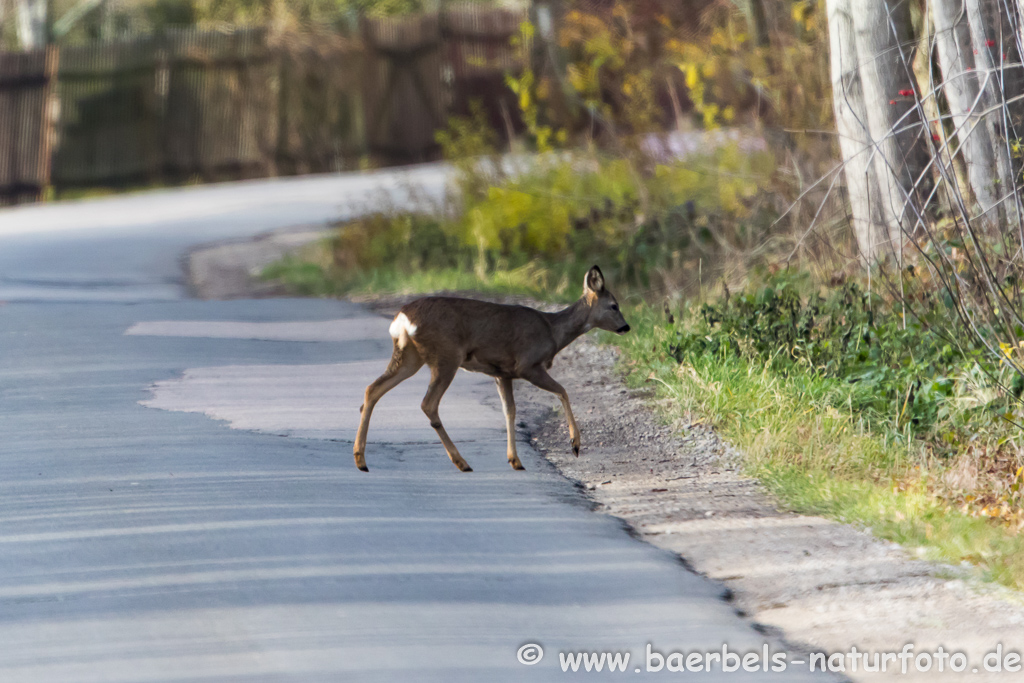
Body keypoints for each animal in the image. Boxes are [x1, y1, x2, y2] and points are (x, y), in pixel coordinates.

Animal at [354, 264, 630, 473]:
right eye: (614, 305)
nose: (626, 327)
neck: (553, 331)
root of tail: (402, 319)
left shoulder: (502, 373)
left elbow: (510, 411)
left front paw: (515, 460)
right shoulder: (528, 364)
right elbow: (562, 391)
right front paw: (575, 444)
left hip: (409, 356)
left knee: (372, 389)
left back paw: (361, 460)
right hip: (446, 356)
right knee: (428, 403)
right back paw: (461, 462)